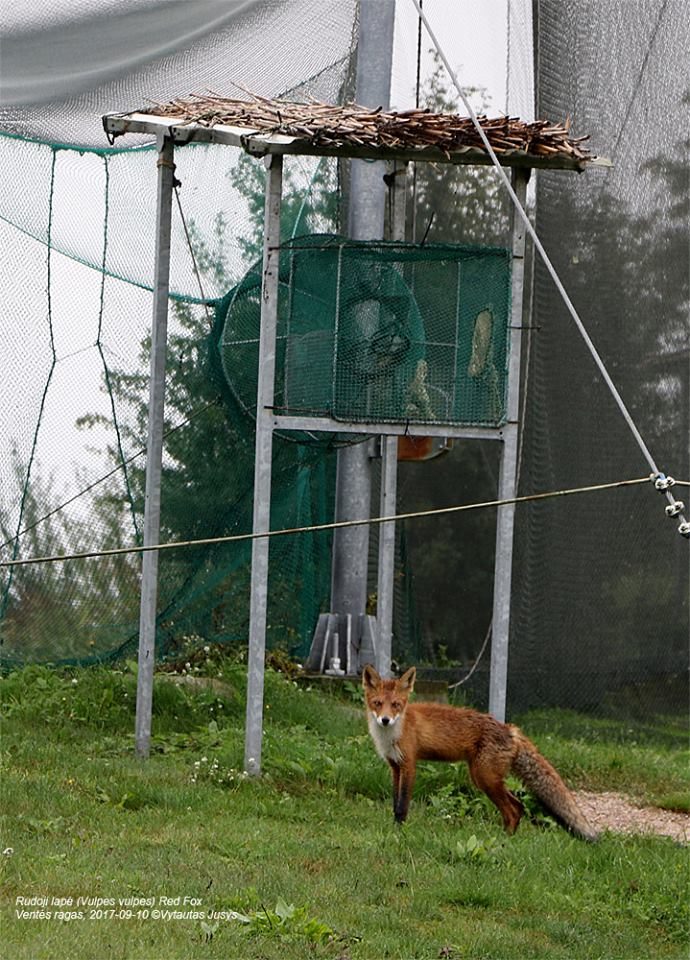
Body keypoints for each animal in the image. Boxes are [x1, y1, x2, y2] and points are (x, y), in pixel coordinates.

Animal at [360, 668, 596, 840]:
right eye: (377, 704)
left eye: (396, 705)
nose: (385, 720)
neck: (393, 732)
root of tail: (510, 730)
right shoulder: (395, 767)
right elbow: (395, 802)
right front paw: (394, 828)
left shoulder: (409, 765)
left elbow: (402, 805)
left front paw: (400, 832)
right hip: (482, 777)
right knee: (518, 807)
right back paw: (506, 838)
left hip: (485, 778)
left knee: (513, 809)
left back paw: (504, 841)